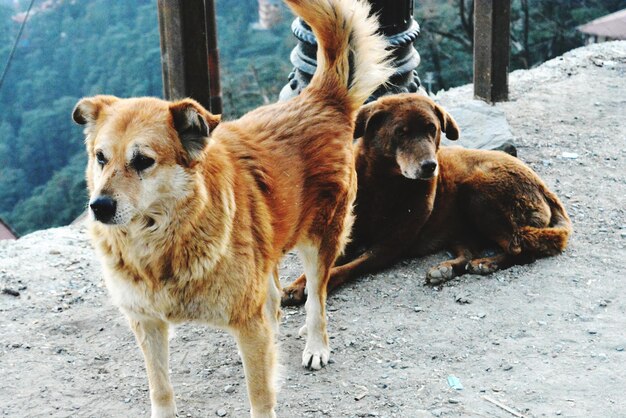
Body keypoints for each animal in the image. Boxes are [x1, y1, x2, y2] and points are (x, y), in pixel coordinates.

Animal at [72, 1, 390, 416]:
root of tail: (320, 99)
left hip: (320, 239)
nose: (100, 207)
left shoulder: (247, 325)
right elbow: (161, 389)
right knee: (275, 295)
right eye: (100, 157)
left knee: (316, 298)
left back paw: (316, 343)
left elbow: (259, 394)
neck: (162, 244)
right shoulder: (147, 322)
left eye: (142, 161)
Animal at [282, 94, 572, 304]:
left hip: (478, 190)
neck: (385, 185)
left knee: (519, 246)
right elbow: (320, 264)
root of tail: (543, 187)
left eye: (432, 129)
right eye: (401, 132)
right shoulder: (348, 236)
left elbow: (344, 268)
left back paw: (487, 263)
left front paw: (318, 285)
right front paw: (296, 286)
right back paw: (446, 269)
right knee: (470, 251)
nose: (430, 166)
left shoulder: (388, 247)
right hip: (462, 225)